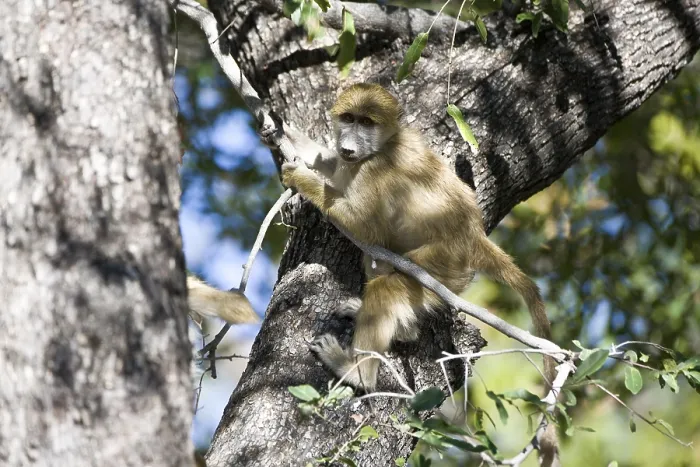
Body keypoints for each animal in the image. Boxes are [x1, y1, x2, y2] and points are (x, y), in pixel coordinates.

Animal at [279, 83, 559, 464]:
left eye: (366, 122)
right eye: (348, 118)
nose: (348, 146)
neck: (385, 143)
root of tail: (473, 235)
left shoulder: (376, 169)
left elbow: (363, 226)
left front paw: (300, 175)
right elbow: (340, 172)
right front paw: (307, 146)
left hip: (443, 265)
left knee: (384, 276)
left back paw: (358, 373)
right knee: (379, 261)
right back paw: (400, 327)